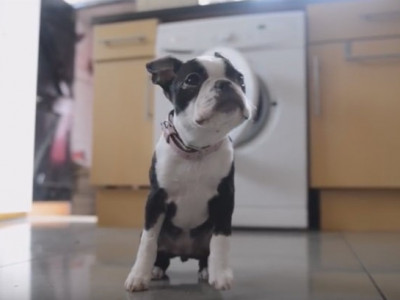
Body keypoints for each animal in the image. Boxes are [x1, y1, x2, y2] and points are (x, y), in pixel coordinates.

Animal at [124, 52, 250, 292]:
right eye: (192, 80)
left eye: (240, 79)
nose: (225, 84)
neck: (196, 148)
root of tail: (183, 252)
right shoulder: (155, 199)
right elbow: (148, 242)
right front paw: (138, 276)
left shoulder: (225, 199)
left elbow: (221, 240)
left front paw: (221, 275)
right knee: (161, 254)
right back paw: (155, 270)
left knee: (205, 254)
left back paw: (207, 270)